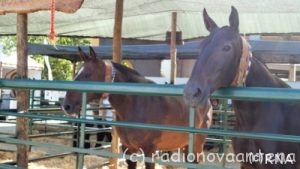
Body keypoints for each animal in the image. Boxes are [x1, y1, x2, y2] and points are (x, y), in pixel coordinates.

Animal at [62, 46, 212, 169]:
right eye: (76, 74)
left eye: (87, 75)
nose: (66, 105)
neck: (136, 104)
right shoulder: (129, 149)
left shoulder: (149, 151)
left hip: (197, 144)